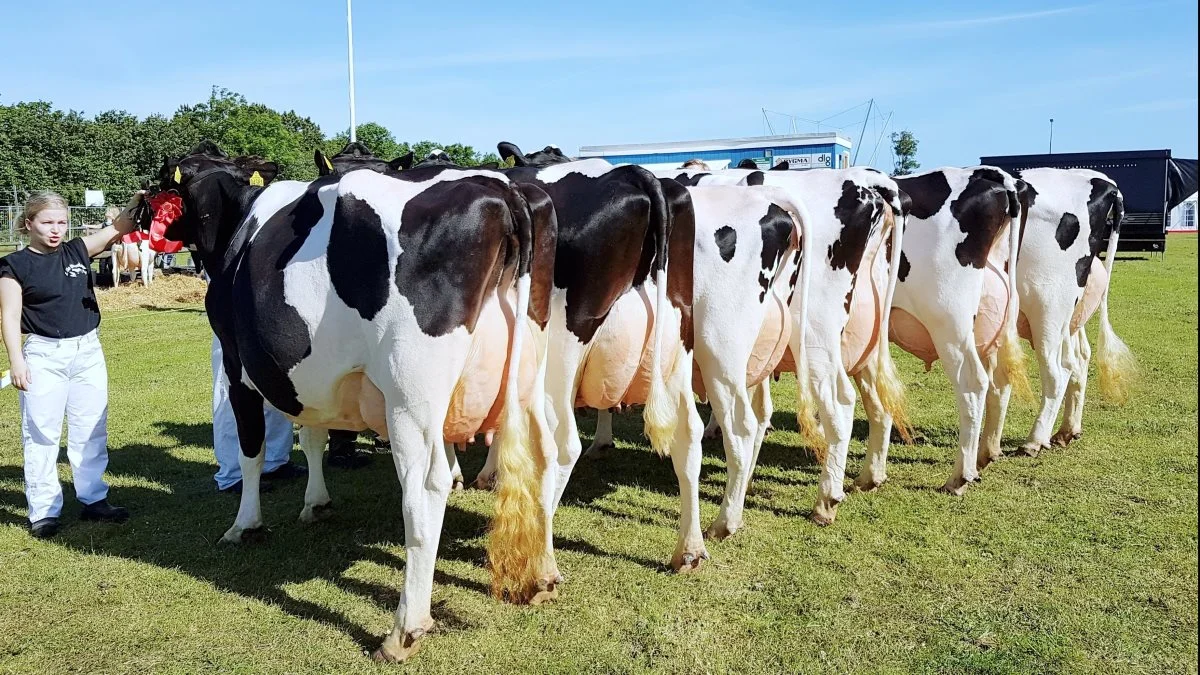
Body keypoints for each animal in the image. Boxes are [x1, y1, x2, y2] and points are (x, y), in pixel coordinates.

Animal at [151, 139, 556, 658]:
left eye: (168, 182)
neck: (237, 223)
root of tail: (502, 189)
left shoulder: (239, 367)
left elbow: (251, 451)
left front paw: (245, 525)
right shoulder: (309, 375)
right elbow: (313, 436)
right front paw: (316, 502)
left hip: (410, 393)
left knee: (426, 489)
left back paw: (405, 629)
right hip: (531, 374)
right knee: (548, 455)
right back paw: (545, 577)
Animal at [849, 166, 1027, 502]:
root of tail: (991, 176)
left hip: (949, 322)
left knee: (973, 384)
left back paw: (958, 477)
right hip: (990, 328)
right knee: (1000, 382)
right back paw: (984, 456)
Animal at [998, 166, 1137, 456]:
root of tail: (1106, 183)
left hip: (1047, 307)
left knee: (1059, 369)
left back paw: (1034, 440)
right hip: (1071, 314)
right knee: (1081, 357)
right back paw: (1066, 431)